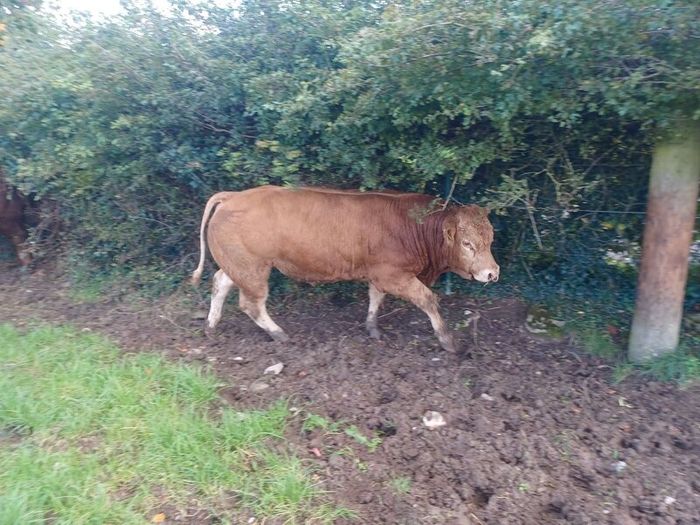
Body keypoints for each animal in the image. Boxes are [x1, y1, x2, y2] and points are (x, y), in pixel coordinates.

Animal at [191, 185, 499, 352]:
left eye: (491, 238)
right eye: (468, 243)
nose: (492, 273)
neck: (413, 224)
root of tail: (233, 196)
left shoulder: (380, 272)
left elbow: (375, 297)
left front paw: (372, 328)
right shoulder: (394, 274)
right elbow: (428, 299)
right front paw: (447, 341)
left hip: (240, 264)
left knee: (220, 282)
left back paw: (210, 326)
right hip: (253, 268)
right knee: (251, 303)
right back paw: (278, 334)